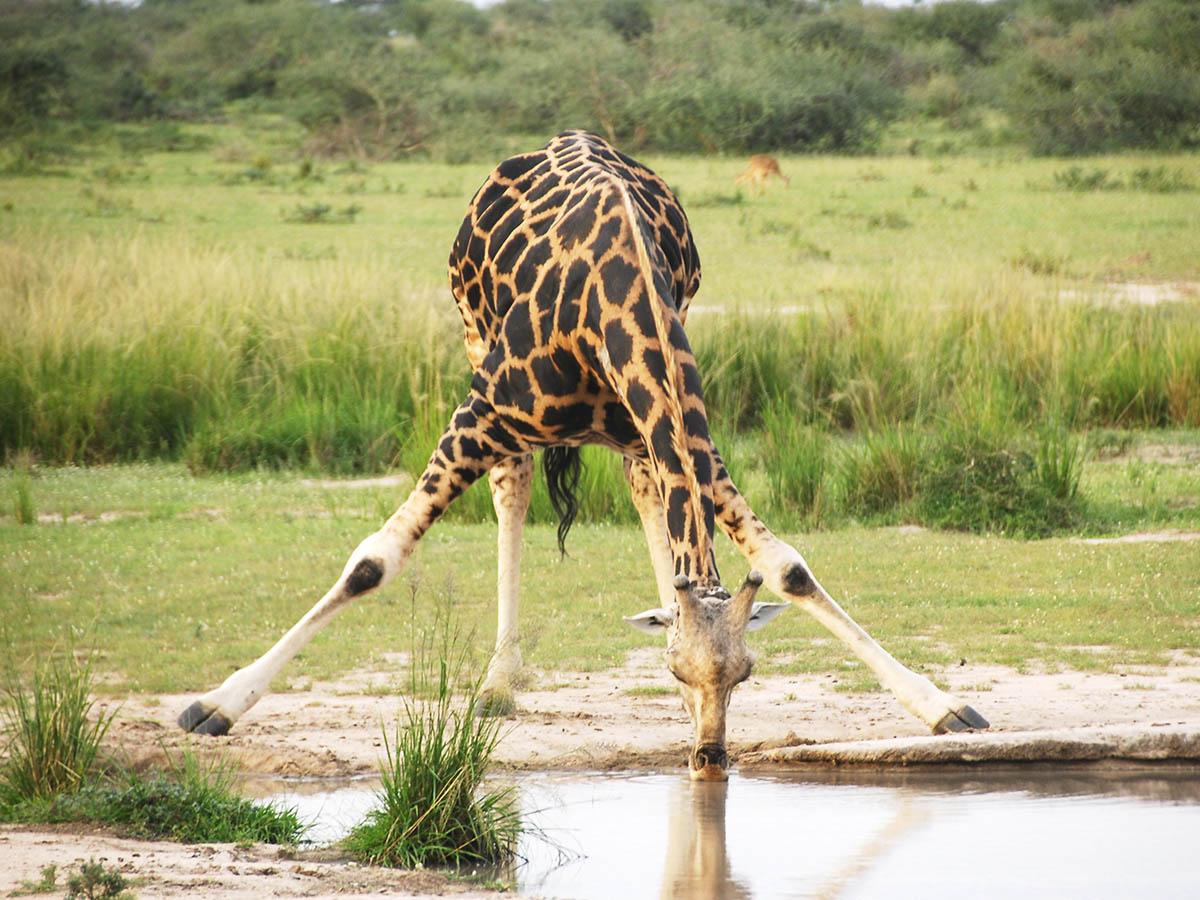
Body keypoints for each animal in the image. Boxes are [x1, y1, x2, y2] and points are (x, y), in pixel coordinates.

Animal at [177, 132, 984, 782]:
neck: (620, 301)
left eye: (745, 674)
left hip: (634, 439)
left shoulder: (682, 431)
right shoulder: (483, 410)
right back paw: (499, 680)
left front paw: (944, 707)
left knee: (644, 498)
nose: (709, 758)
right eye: (679, 670)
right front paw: (217, 703)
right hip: (475, 346)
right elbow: (374, 560)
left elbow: (788, 565)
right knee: (514, 487)